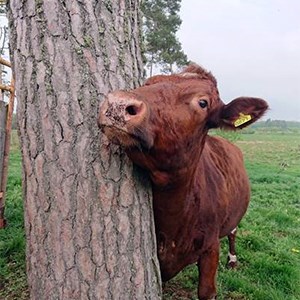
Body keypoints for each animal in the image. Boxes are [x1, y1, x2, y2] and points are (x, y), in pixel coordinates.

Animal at [97, 63, 268, 300]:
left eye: (203, 102)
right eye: (148, 82)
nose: (118, 103)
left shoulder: (210, 248)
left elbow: (206, 291)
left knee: (233, 231)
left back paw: (233, 261)